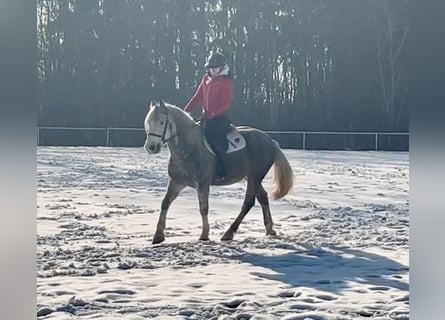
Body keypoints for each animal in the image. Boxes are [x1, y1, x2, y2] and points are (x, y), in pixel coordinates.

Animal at [144, 101, 294, 244]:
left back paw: (229, 233)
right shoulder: (177, 181)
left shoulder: (202, 184)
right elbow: (165, 203)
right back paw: (269, 229)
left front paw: (204, 235)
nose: (151, 147)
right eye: (148, 123)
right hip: (251, 177)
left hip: (255, 176)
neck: (189, 147)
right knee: (262, 197)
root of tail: (270, 141)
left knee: (248, 202)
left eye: (161, 122)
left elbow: (203, 208)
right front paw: (158, 235)